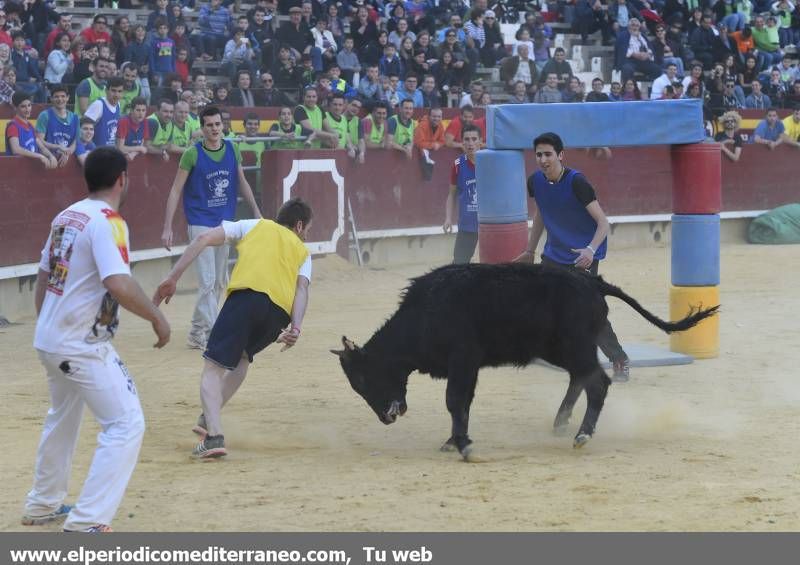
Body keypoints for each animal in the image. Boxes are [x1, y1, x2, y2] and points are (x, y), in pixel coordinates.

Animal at [332, 264, 720, 458]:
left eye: (364, 379)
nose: (387, 417)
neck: (426, 312)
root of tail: (593, 282)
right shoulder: (466, 366)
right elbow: (462, 403)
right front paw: (454, 440)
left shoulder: (464, 360)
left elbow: (455, 400)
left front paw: (464, 445)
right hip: (559, 349)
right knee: (580, 379)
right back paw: (561, 422)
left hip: (575, 347)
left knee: (597, 382)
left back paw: (581, 435)